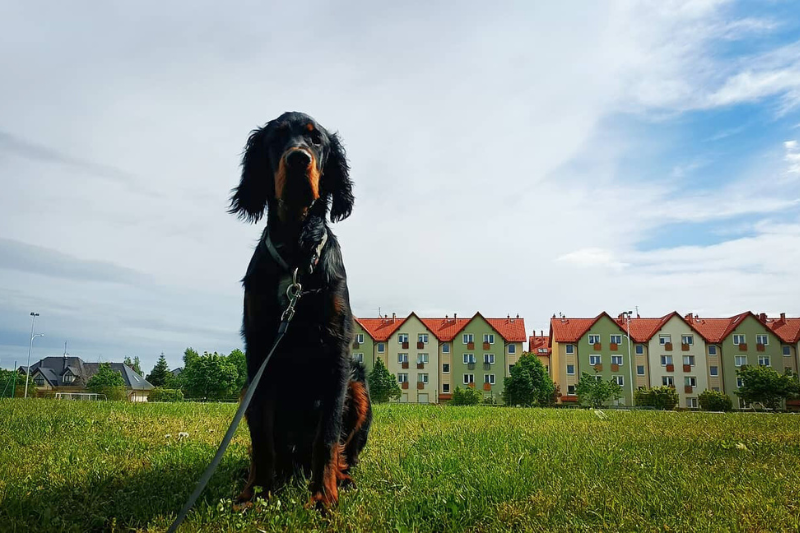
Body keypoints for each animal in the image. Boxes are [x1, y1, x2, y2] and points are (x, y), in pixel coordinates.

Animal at [228, 111, 372, 508]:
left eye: (316, 139)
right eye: (277, 138)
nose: (297, 159)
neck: (296, 251)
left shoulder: (337, 349)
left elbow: (328, 436)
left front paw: (324, 497)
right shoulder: (259, 347)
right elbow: (261, 435)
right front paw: (255, 494)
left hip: (359, 387)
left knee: (342, 450)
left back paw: (342, 477)